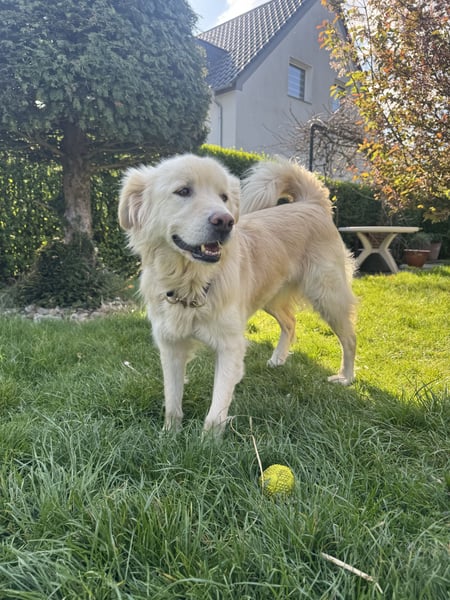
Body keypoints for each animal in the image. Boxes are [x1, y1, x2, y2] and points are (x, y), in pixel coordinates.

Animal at [119, 154, 356, 433]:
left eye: (223, 197)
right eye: (183, 191)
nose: (225, 221)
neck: (192, 283)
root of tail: (311, 203)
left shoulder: (229, 345)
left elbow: (216, 411)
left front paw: (208, 442)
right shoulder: (171, 346)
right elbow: (172, 402)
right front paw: (170, 435)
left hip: (327, 296)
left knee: (349, 339)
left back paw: (346, 377)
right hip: (270, 297)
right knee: (290, 322)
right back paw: (278, 359)